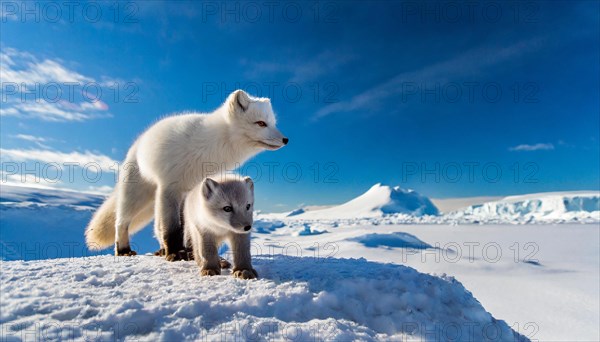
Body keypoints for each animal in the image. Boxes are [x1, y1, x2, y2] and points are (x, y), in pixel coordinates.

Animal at [85, 89, 288, 260]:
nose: (286, 139)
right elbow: (172, 228)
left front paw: (191, 251)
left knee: (156, 227)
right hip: (137, 196)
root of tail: (138, 143)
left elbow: (186, 226)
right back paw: (124, 250)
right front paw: (176, 253)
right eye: (261, 123)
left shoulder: (192, 190)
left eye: (273, 123)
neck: (212, 147)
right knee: (121, 222)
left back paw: (162, 249)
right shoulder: (170, 187)